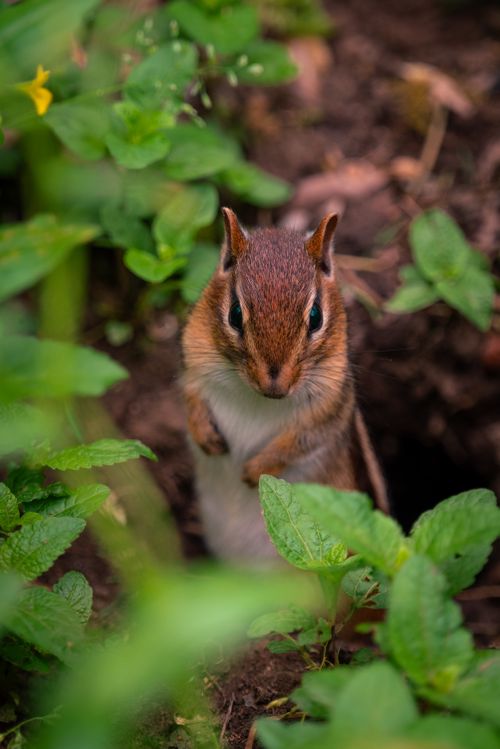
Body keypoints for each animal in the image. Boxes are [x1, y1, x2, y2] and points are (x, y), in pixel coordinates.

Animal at [182, 208, 389, 560]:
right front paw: (205, 435)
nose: (274, 386)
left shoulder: (330, 408)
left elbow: (301, 441)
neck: (256, 399)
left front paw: (256, 470)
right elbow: (190, 399)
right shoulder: (194, 366)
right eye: (235, 314)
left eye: (316, 317)